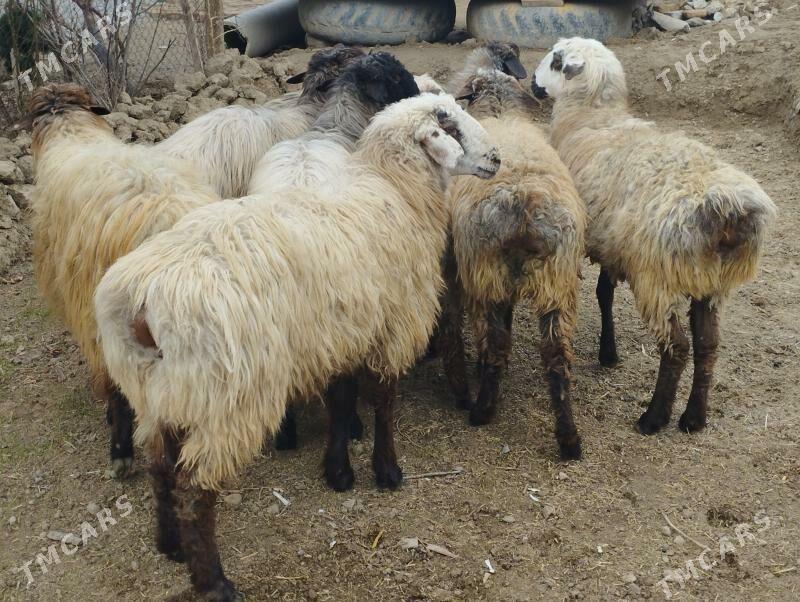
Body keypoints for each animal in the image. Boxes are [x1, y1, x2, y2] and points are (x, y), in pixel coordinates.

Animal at [94, 93, 499, 599]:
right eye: (453, 129)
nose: (497, 158)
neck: (396, 192)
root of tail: (140, 302)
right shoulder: (392, 326)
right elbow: (384, 402)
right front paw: (387, 470)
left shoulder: (342, 331)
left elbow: (342, 399)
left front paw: (339, 472)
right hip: (226, 396)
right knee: (193, 487)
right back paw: (213, 581)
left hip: (156, 389)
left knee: (160, 466)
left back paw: (169, 544)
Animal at [437, 66, 586, 459]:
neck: (502, 112)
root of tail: (525, 200)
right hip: (557, 280)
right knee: (557, 356)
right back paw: (569, 439)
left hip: (485, 272)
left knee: (494, 343)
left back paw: (482, 410)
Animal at [532, 37, 777, 435]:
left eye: (555, 60)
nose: (532, 83)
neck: (592, 116)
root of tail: (729, 211)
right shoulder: (614, 244)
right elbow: (603, 293)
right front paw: (609, 352)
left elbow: (601, 293)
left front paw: (608, 352)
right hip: (712, 283)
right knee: (708, 345)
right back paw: (694, 417)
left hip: (658, 277)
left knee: (677, 347)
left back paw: (654, 417)